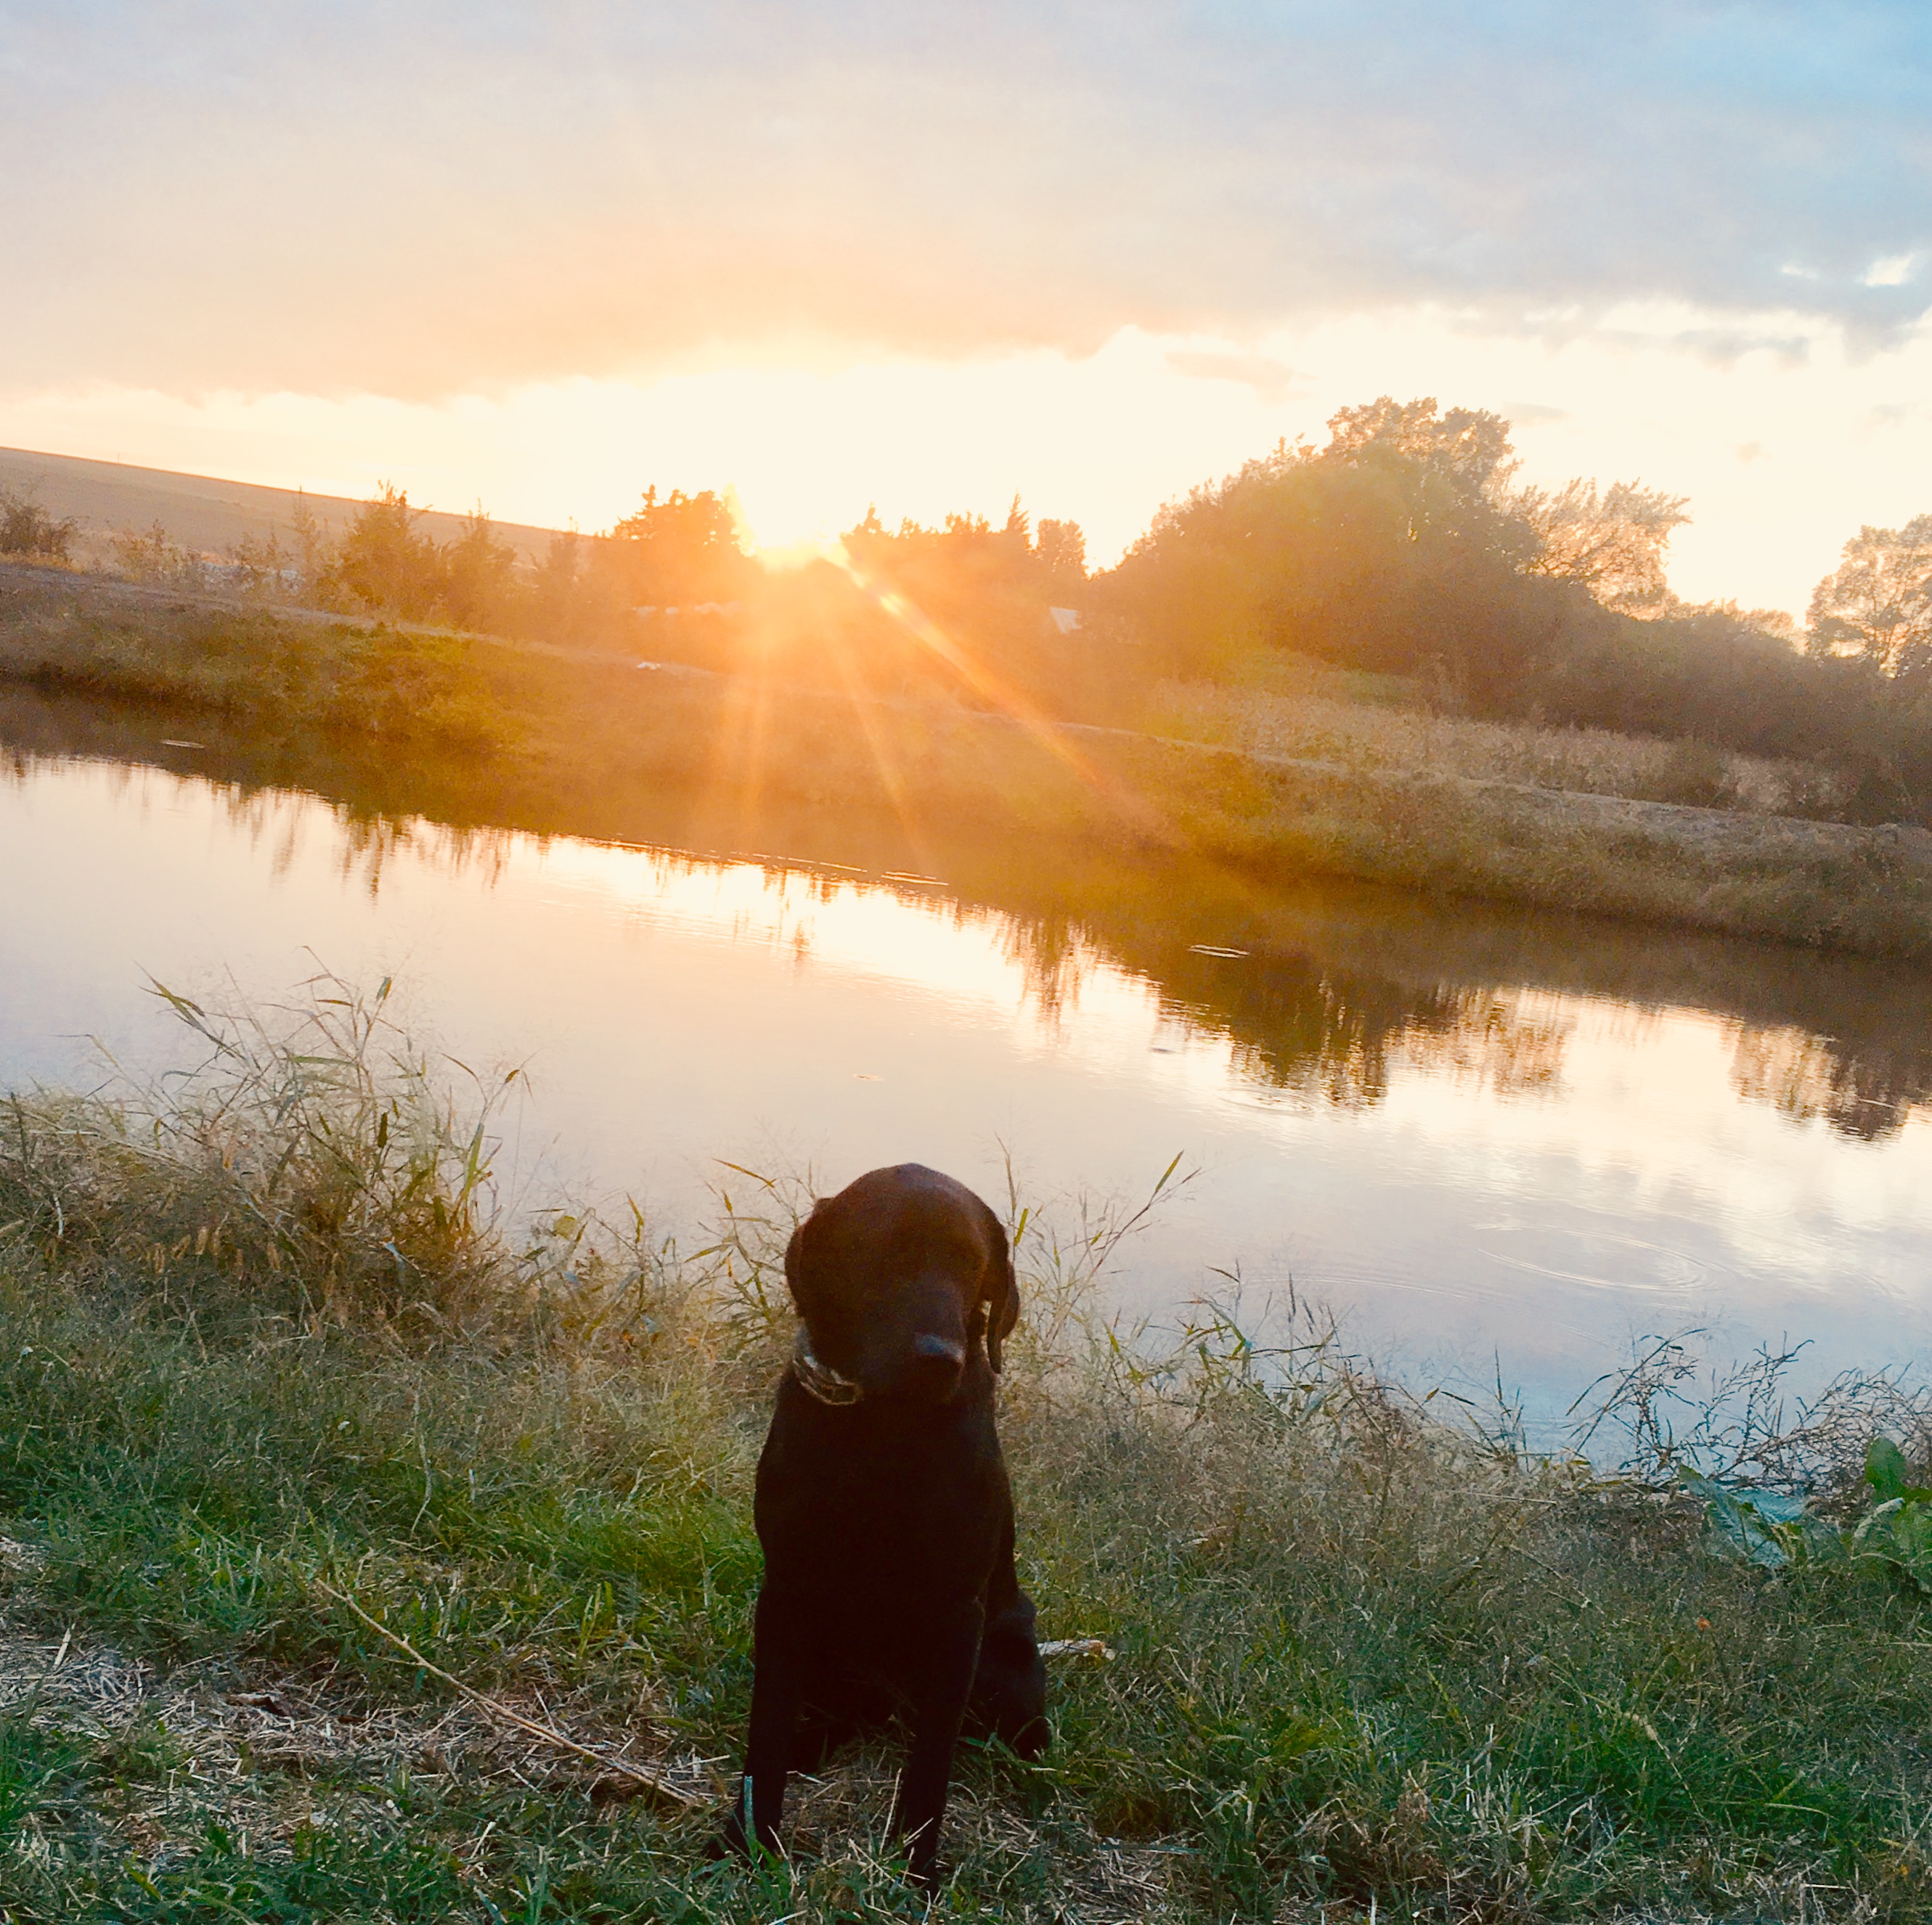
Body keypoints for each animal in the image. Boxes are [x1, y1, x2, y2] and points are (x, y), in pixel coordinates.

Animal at [718, 1166, 1051, 1884]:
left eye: (971, 1262)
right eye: (878, 1251)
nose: (939, 1359)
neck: (884, 1431)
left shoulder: (957, 1615)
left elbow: (930, 1766)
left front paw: (915, 1868)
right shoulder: (785, 1590)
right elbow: (765, 1729)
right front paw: (747, 1837)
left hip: (1008, 1653)